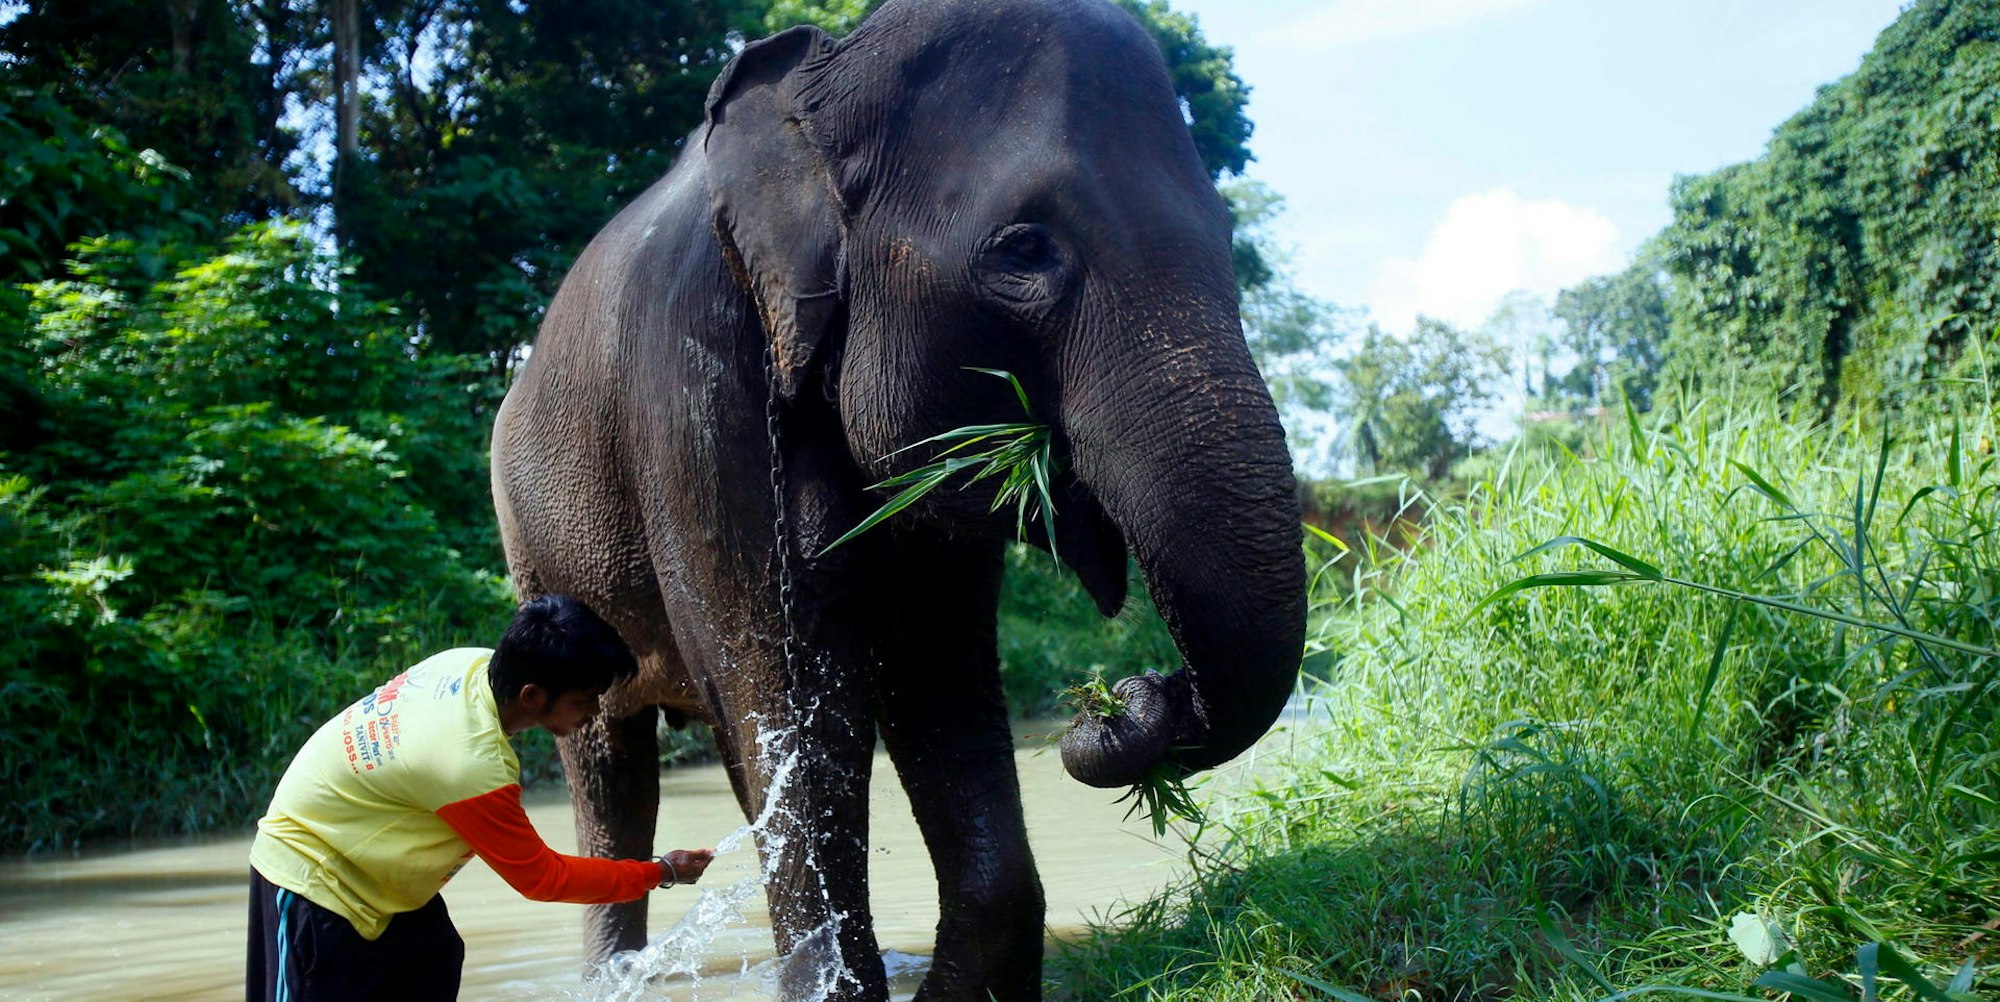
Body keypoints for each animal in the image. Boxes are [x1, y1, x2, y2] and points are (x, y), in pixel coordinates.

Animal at [488, 0, 1306, 998]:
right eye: (1024, 249)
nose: (1124, 693)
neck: (819, 86)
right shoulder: (689, 392)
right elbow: (798, 692)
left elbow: (935, 671)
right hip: (533, 539)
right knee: (608, 757)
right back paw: (613, 978)